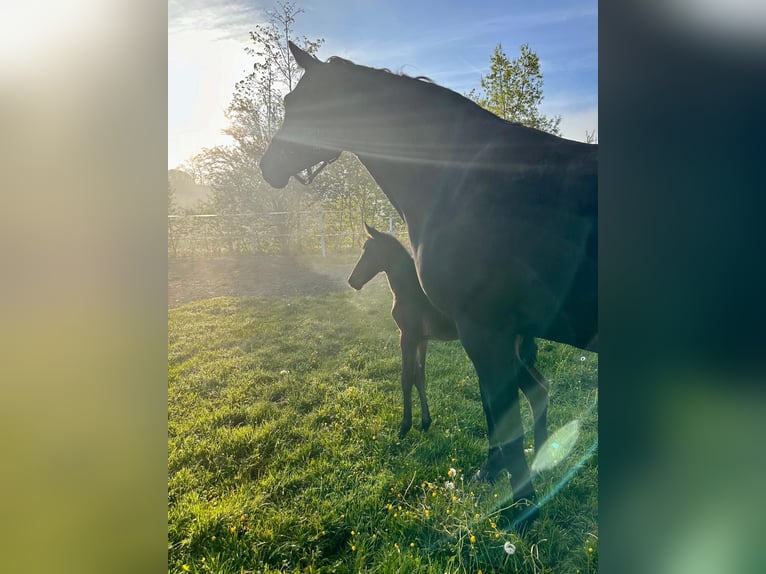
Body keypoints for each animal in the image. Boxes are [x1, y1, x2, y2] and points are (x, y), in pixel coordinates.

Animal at [348, 224, 552, 450]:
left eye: (367, 251)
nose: (352, 281)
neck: (409, 289)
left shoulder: (408, 336)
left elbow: (406, 377)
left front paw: (404, 427)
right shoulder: (422, 340)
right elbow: (420, 376)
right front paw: (425, 422)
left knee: (536, 390)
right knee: (543, 384)